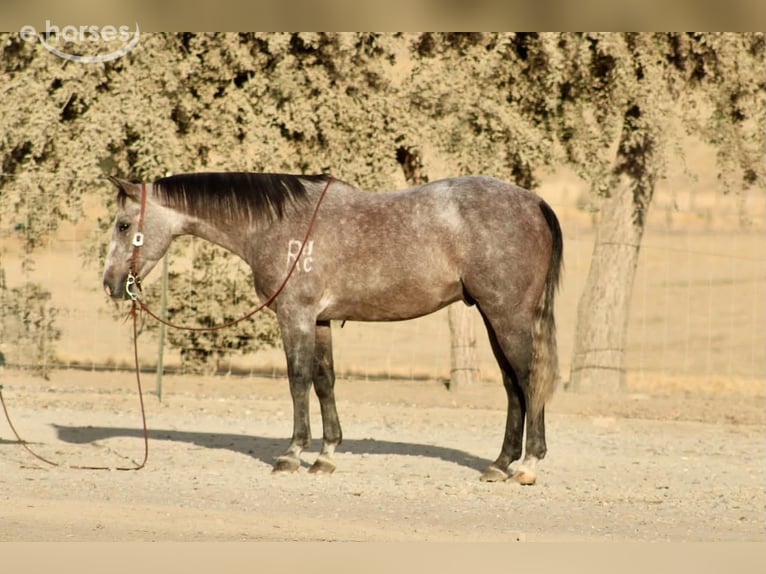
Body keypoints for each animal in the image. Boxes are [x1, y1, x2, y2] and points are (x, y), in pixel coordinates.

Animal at [102, 172, 563, 484]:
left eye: (123, 225)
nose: (110, 284)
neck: (279, 224)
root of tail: (534, 202)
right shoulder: (320, 321)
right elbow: (324, 381)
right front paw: (326, 455)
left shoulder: (295, 316)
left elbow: (298, 380)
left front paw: (291, 454)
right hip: (492, 316)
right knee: (512, 385)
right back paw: (499, 464)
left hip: (507, 315)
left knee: (529, 378)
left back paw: (527, 464)